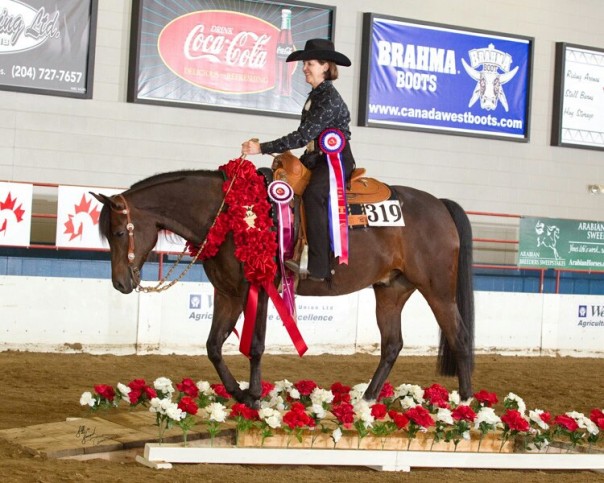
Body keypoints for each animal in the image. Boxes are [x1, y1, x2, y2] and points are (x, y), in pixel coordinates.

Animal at [92, 165, 474, 408]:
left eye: (118, 232)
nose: (120, 283)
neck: (230, 214)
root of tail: (439, 205)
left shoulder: (260, 289)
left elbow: (255, 345)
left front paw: (255, 396)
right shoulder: (228, 293)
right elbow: (214, 345)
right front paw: (239, 393)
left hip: (438, 290)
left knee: (459, 337)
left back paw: (467, 404)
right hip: (391, 291)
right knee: (392, 345)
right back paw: (366, 401)